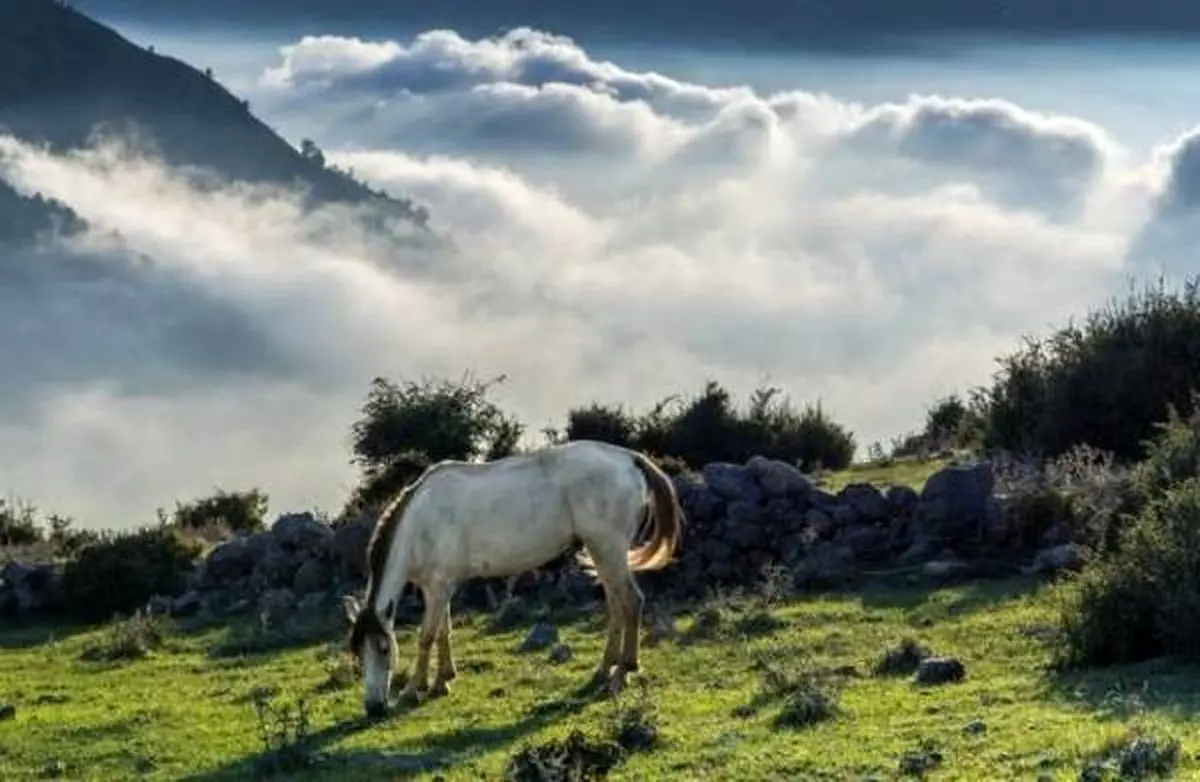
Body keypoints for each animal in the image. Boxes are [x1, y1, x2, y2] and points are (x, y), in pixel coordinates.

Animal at [343, 436, 691, 719]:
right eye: (358, 652)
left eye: (384, 649)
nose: (374, 708)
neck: (419, 524)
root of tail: (629, 457)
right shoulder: (440, 587)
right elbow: (444, 632)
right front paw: (443, 680)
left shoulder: (438, 587)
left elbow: (426, 636)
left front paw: (413, 688)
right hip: (601, 551)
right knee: (617, 605)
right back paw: (604, 670)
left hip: (609, 547)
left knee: (631, 601)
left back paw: (623, 672)